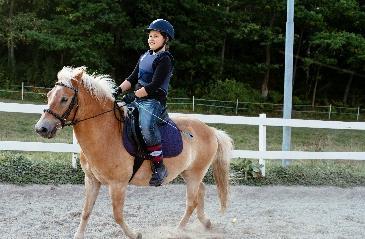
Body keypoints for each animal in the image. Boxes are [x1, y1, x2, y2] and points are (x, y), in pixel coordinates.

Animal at [34, 66, 233, 239]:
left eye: (64, 99)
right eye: (49, 95)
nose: (41, 128)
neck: (106, 133)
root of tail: (211, 130)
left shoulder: (118, 185)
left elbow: (117, 215)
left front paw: (135, 234)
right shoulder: (91, 180)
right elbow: (86, 211)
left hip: (194, 173)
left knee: (191, 202)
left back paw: (177, 230)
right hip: (188, 172)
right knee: (201, 191)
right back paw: (206, 223)